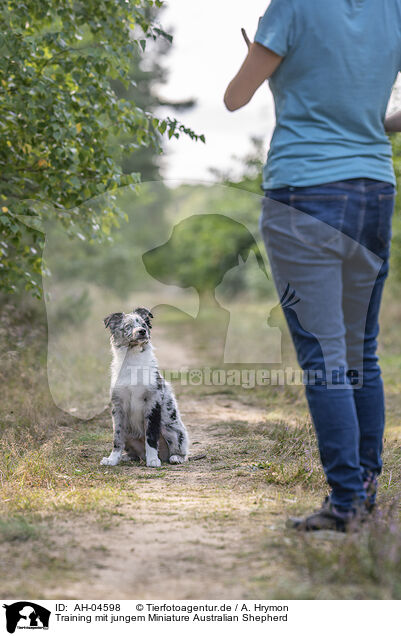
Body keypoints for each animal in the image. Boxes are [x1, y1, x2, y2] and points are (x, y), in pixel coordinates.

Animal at [100, 308, 188, 468]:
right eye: (128, 326)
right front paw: (112, 459)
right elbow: (117, 439)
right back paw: (127, 457)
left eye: (143, 324)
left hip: (170, 428)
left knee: (180, 450)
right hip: (129, 432)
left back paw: (175, 457)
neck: (133, 359)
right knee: (132, 451)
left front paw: (152, 460)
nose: (142, 331)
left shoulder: (153, 404)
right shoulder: (118, 407)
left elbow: (151, 437)